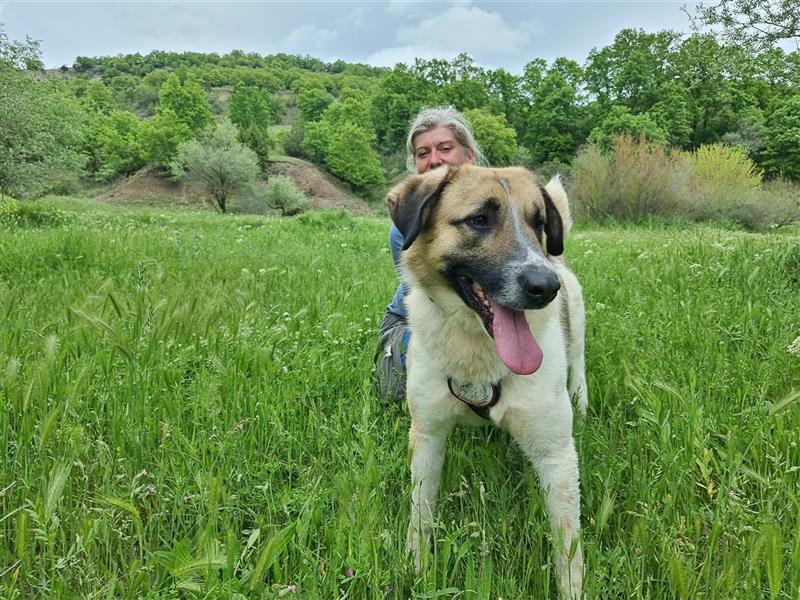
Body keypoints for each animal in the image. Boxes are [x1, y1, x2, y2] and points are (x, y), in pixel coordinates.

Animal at [390, 165, 588, 600]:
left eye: (539, 223)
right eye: (479, 219)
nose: (546, 287)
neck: (479, 352)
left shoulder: (556, 454)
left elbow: (568, 545)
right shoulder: (427, 435)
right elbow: (420, 509)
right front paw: (416, 567)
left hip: (578, 329)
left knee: (579, 366)